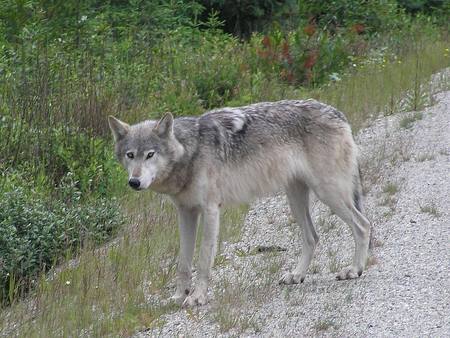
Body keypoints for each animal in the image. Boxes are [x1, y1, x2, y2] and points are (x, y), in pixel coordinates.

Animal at [107, 99, 370, 308]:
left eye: (150, 155)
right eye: (130, 155)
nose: (134, 182)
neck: (190, 151)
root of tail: (338, 113)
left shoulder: (211, 210)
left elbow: (203, 260)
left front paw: (197, 297)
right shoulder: (185, 212)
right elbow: (184, 262)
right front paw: (178, 296)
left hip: (329, 194)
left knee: (363, 225)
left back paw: (354, 270)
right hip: (296, 200)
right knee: (313, 237)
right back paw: (296, 275)